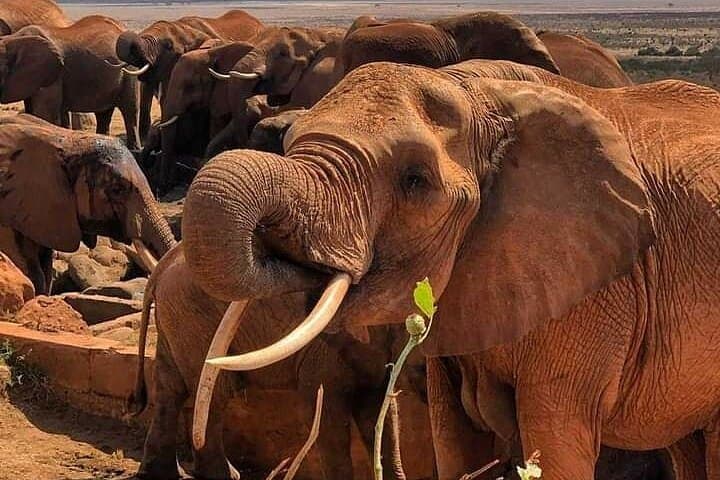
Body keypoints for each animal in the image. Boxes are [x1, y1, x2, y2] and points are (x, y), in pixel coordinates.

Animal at [0, 15, 141, 149]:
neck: (13, 39)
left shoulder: (51, 77)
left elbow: (44, 115)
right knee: (103, 114)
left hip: (130, 70)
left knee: (130, 111)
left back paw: (134, 148)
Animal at [130, 243, 433, 480]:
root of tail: (161, 268)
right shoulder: (324, 351)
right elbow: (326, 415)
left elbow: (380, 412)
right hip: (196, 323)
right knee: (214, 395)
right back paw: (225, 476)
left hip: (176, 323)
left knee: (170, 389)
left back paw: (160, 474)